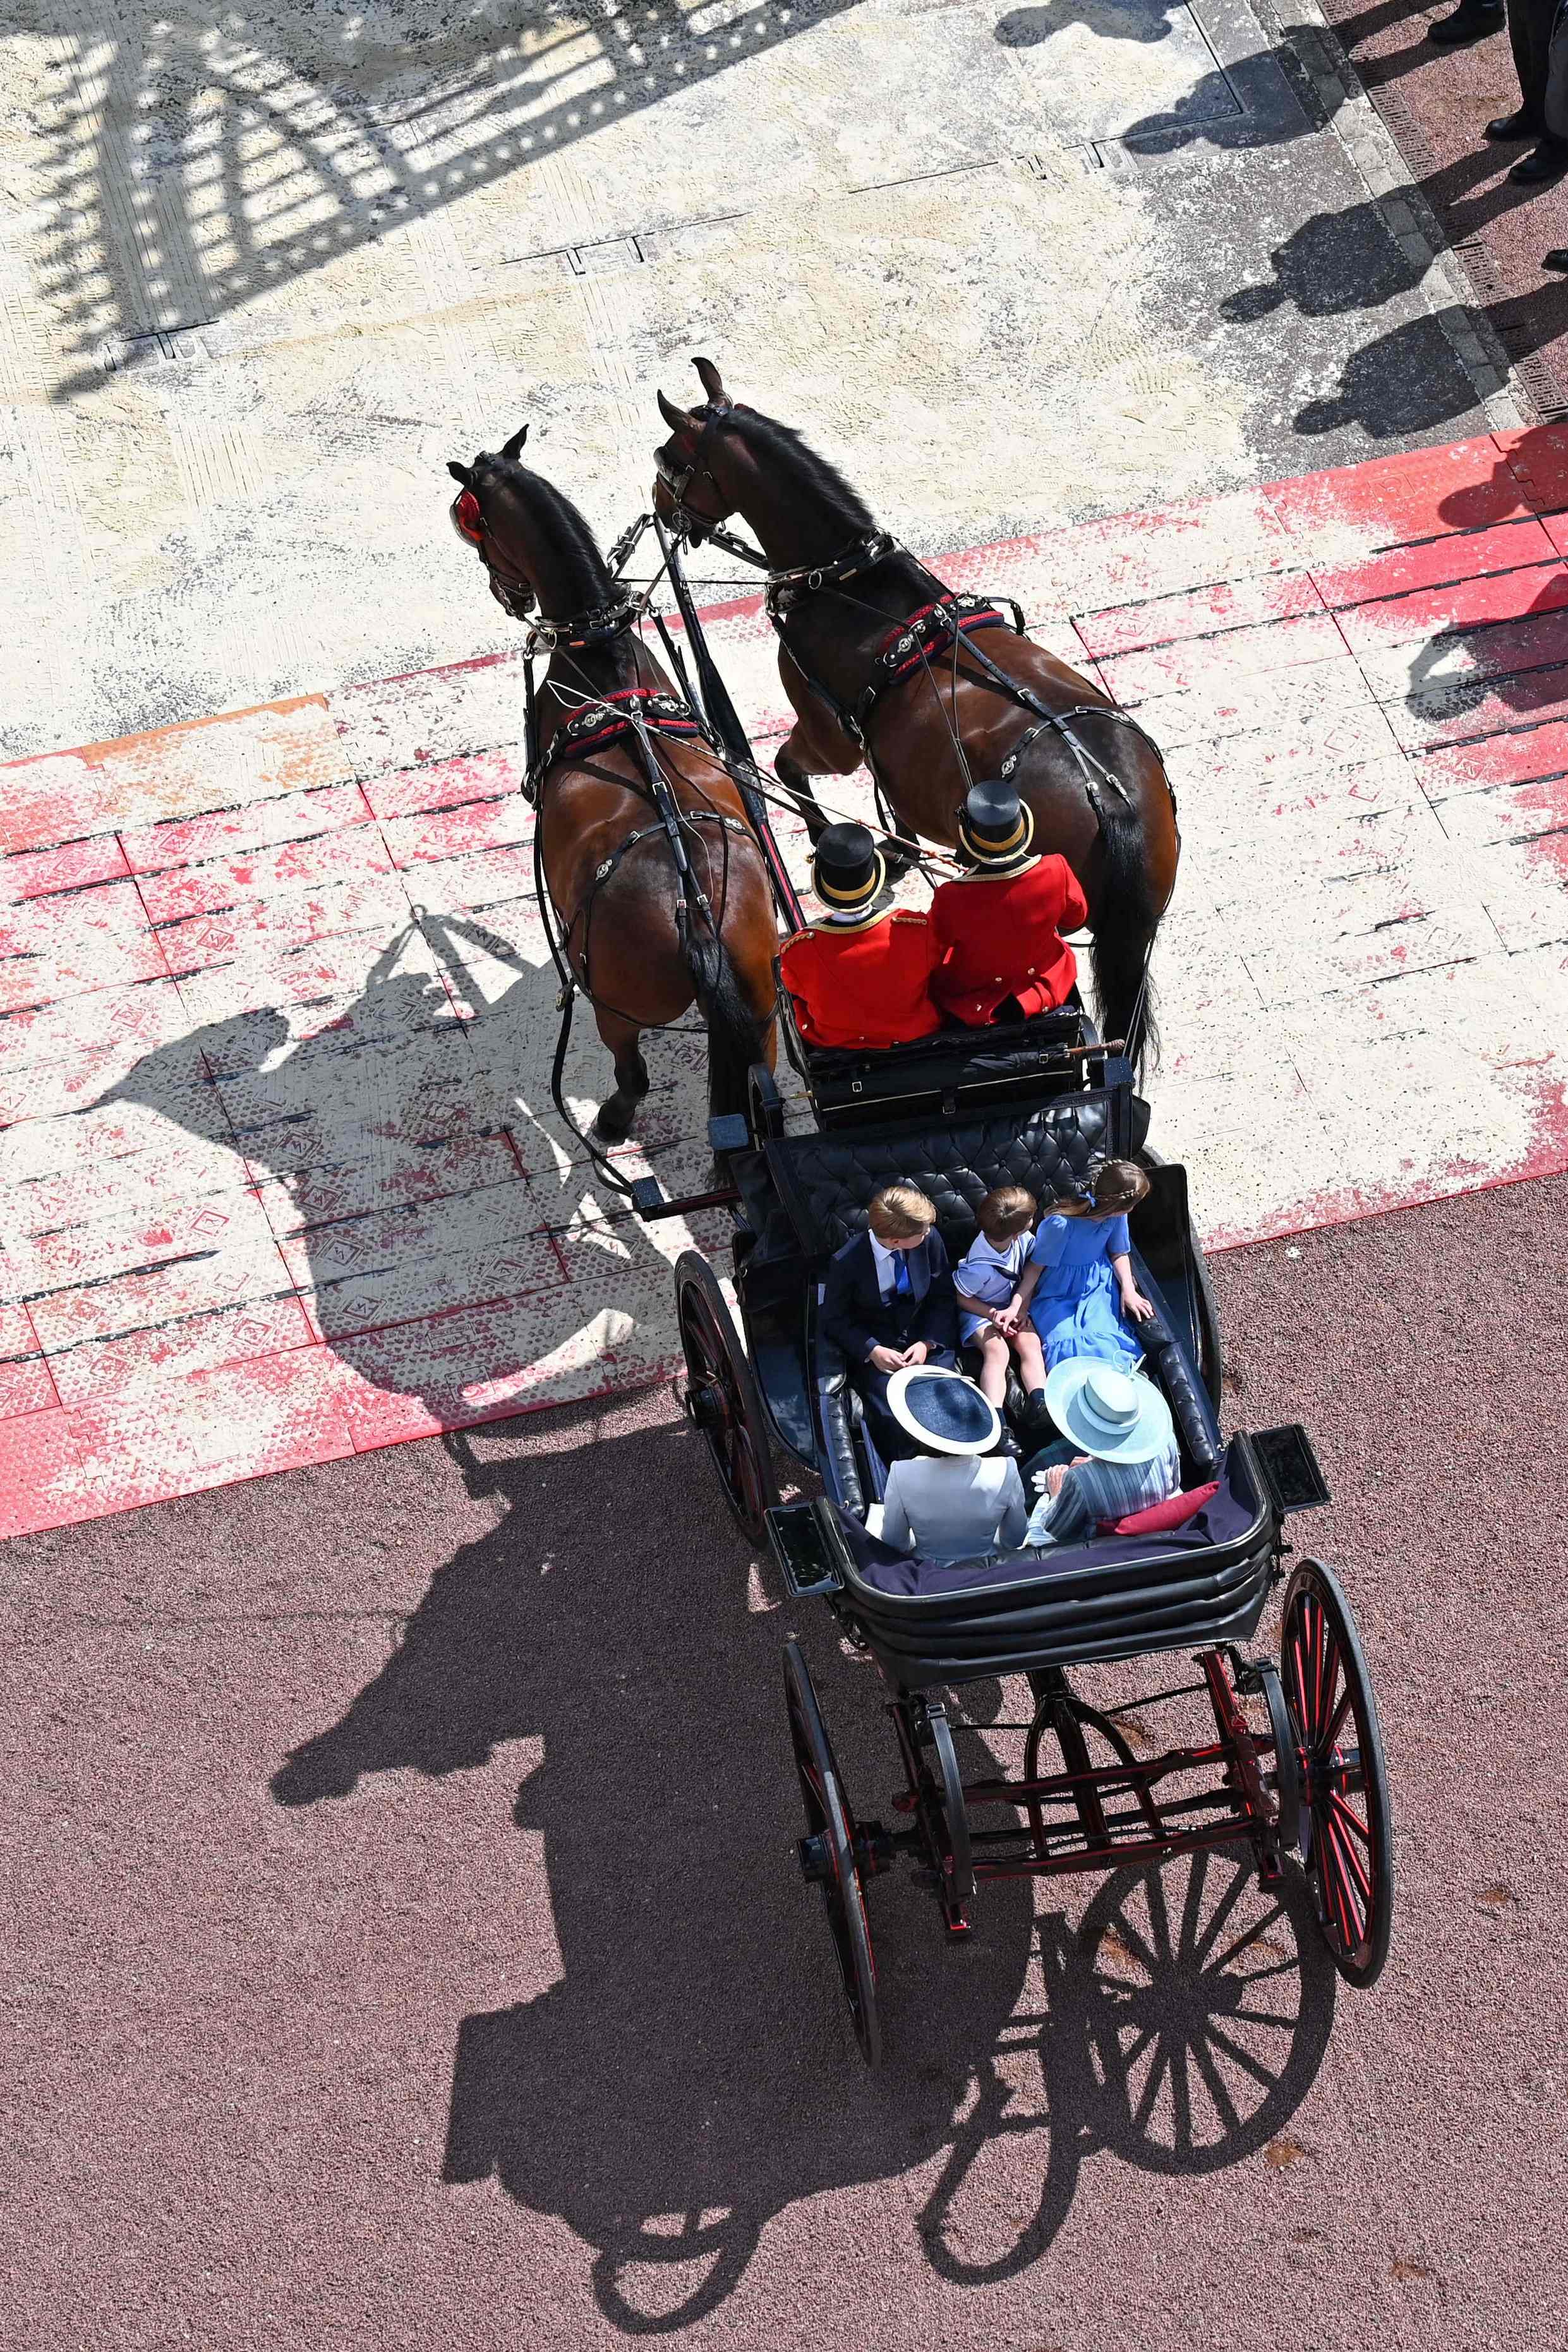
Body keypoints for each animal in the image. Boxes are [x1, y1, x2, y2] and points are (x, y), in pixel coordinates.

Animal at [447, 440, 780, 1147]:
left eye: (471, 520)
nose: (506, 592)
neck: (601, 655)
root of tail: (694, 915)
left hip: (616, 1010)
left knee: (633, 1074)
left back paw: (612, 1118)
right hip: (763, 1010)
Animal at [649, 359, 1175, 1077]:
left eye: (672, 458)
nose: (657, 502)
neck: (849, 583)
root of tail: (1111, 799)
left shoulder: (829, 735)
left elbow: (791, 769)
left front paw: (841, 844)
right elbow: (888, 791)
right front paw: (895, 845)